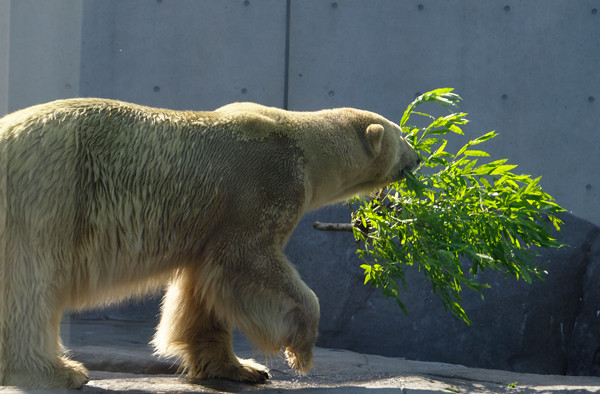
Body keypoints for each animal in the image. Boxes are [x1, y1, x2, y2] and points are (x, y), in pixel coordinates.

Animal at [0, 98, 418, 388]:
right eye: (404, 136)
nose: (418, 158)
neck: (304, 146)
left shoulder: (212, 224)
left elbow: (203, 287)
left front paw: (241, 368)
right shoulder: (264, 187)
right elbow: (246, 260)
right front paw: (300, 350)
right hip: (47, 195)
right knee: (30, 286)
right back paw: (57, 370)